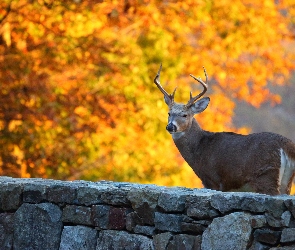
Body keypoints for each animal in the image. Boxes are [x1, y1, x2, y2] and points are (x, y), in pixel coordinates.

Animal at [155, 64, 295, 195]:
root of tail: (286, 144)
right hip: (286, 181)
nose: (170, 126)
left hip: (266, 174)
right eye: (169, 113)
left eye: (185, 115)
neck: (200, 149)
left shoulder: (213, 179)